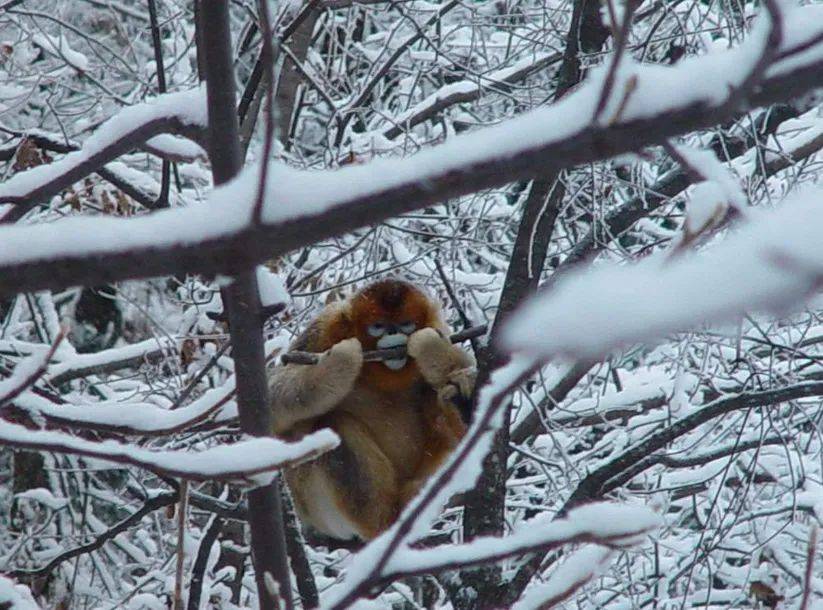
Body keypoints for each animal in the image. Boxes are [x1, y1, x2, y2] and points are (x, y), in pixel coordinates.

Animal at [270, 278, 476, 540]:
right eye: (378, 326)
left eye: (405, 324)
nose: (393, 333)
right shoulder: (324, 328)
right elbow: (274, 415)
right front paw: (335, 367)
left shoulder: (441, 328)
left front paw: (435, 354)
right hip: (318, 510)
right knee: (334, 425)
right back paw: (383, 522)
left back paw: (458, 402)